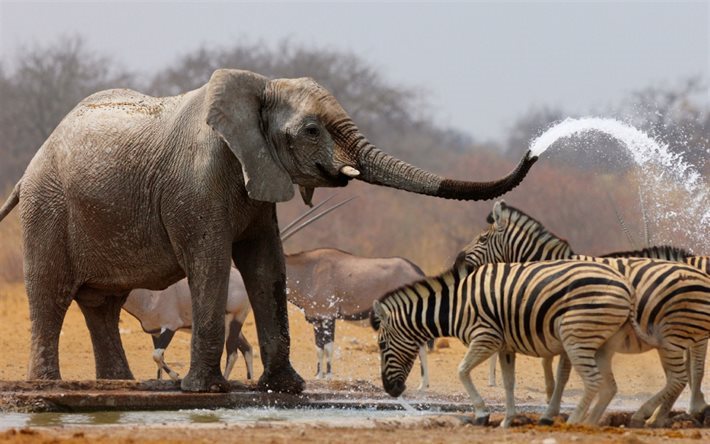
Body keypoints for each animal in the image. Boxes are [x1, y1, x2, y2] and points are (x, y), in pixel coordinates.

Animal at [0, 67, 536, 394]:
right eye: (313, 130)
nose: (533, 150)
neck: (259, 87)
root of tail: (29, 167)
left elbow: (266, 266)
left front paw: (286, 387)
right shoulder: (196, 184)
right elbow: (212, 263)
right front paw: (204, 391)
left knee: (103, 305)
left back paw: (120, 385)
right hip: (47, 207)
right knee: (51, 292)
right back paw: (49, 386)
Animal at [372, 260, 640, 426]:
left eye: (382, 346)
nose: (390, 390)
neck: (456, 305)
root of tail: (625, 283)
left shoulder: (486, 337)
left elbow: (462, 371)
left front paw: (482, 414)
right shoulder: (505, 346)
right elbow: (509, 383)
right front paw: (507, 420)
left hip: (576, 336)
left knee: (594, 381)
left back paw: (574, 422)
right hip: (598, 342)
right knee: (606, 385)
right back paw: (586, 421)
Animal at [464, 200, 710, 424]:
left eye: (482, 239)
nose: (461, 262)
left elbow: (563, 372)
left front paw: (551, 411)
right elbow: (550, 364)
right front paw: (551, 400)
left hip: (675, 333)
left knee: (689, 369)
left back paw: (673, 411)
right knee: (681, 373)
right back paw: (663, 415)